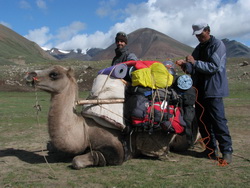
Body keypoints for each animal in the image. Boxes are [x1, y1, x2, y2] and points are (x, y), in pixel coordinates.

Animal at [24, 65, 197, 169]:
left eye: (54, 74)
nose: (29, 75)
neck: (84, 130)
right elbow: (52, 147)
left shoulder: (116, 149)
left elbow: (79, 160)